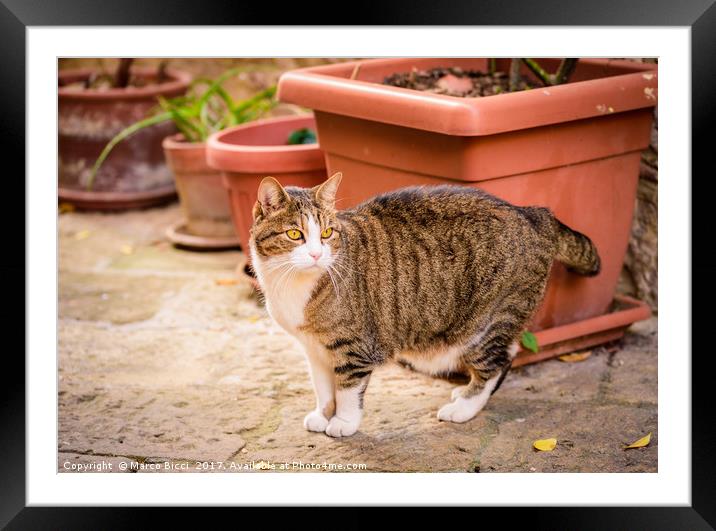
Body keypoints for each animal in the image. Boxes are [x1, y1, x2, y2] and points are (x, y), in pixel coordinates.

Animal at [249, 174, 600, 436]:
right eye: (294, 234)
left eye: (326, 233)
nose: (316, 254)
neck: (290, 283)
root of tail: (534, 214)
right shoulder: (314, 349)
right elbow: (323, 387)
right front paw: (323, 415)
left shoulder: (353, 347)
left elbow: (347, 390)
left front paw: (343, 423)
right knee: (509, 353)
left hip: (485, 323)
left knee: (499, 361)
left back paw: (464, 407)